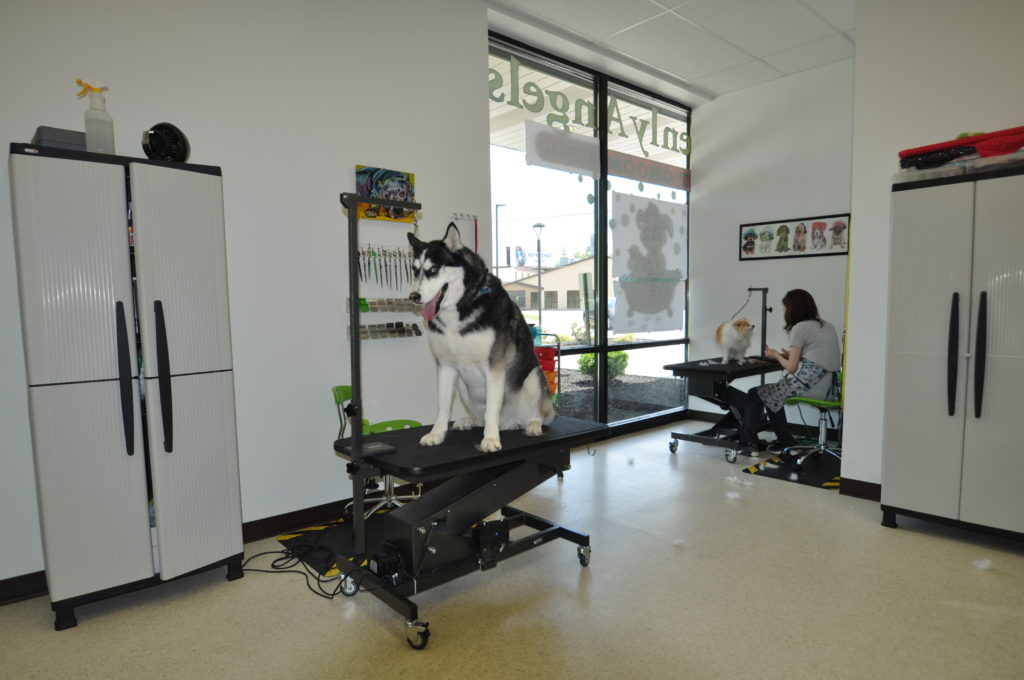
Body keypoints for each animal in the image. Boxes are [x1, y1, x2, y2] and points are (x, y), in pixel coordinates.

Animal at [405, 225, 557, 454]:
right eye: (415, 269)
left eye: (433, 269)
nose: (413, 297)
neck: (459, 308)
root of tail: (508, 423)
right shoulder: (445, 366)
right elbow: (443, 406)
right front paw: (436, 434)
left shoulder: (494, 366)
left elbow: (492, 409)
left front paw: (491, 439)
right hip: (463, 386)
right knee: (480, 416)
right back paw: (470, 421)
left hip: (533, 378)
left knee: (538, 413)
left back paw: (532, 425)